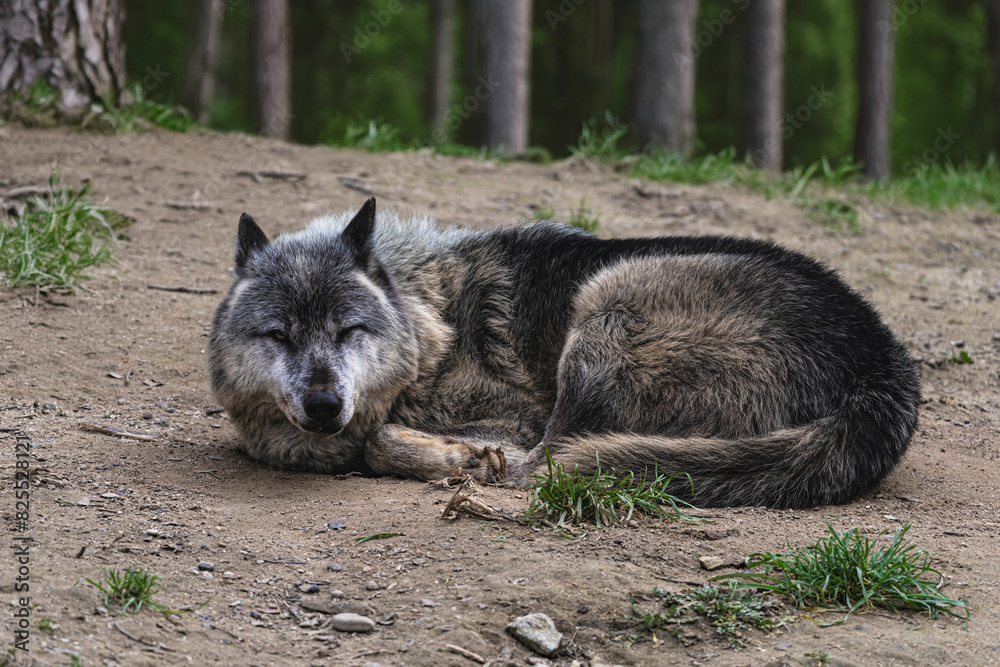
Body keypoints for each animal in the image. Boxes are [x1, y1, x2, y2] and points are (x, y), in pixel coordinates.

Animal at [207, 196, 916, 508]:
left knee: (546, 463)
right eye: (279, 335)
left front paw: (456, 456)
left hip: (606, 301)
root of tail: (882, 366)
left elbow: (381, 441)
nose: (325, 403)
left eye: (349, 330)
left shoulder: (513, 414)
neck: (430, 313)